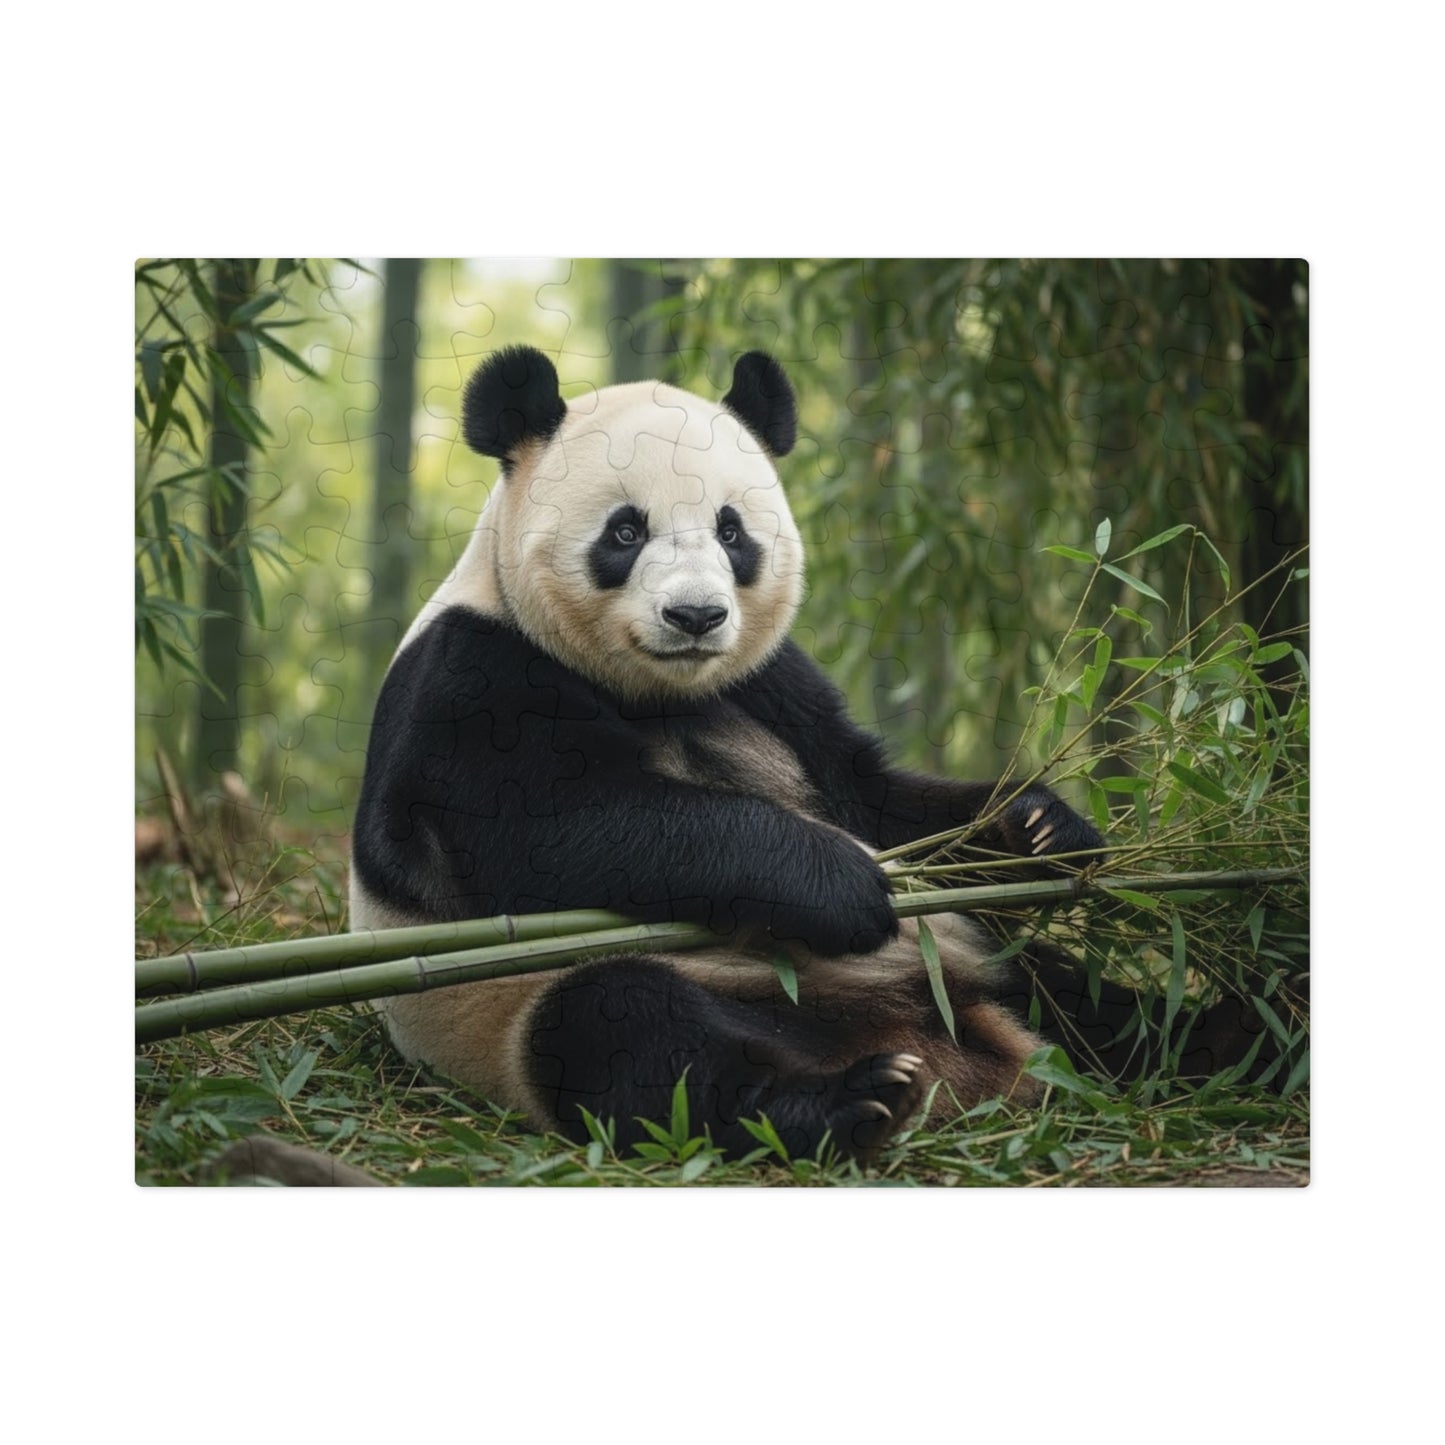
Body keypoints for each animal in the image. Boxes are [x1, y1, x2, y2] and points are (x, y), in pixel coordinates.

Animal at [349, 347, 1159, 1164]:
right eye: (625, 532)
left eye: (731, 532)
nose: (696, 616)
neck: (658, 689)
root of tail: (955, 1053)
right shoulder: (471, 675)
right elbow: (552, 829)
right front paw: (840, 883)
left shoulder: (770, 683)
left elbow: (876, 798)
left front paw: (1039, 829)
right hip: (529, 1004)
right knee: (629, 1031)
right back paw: (852, 1100)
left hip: (980, 964)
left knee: (1092, 1003)